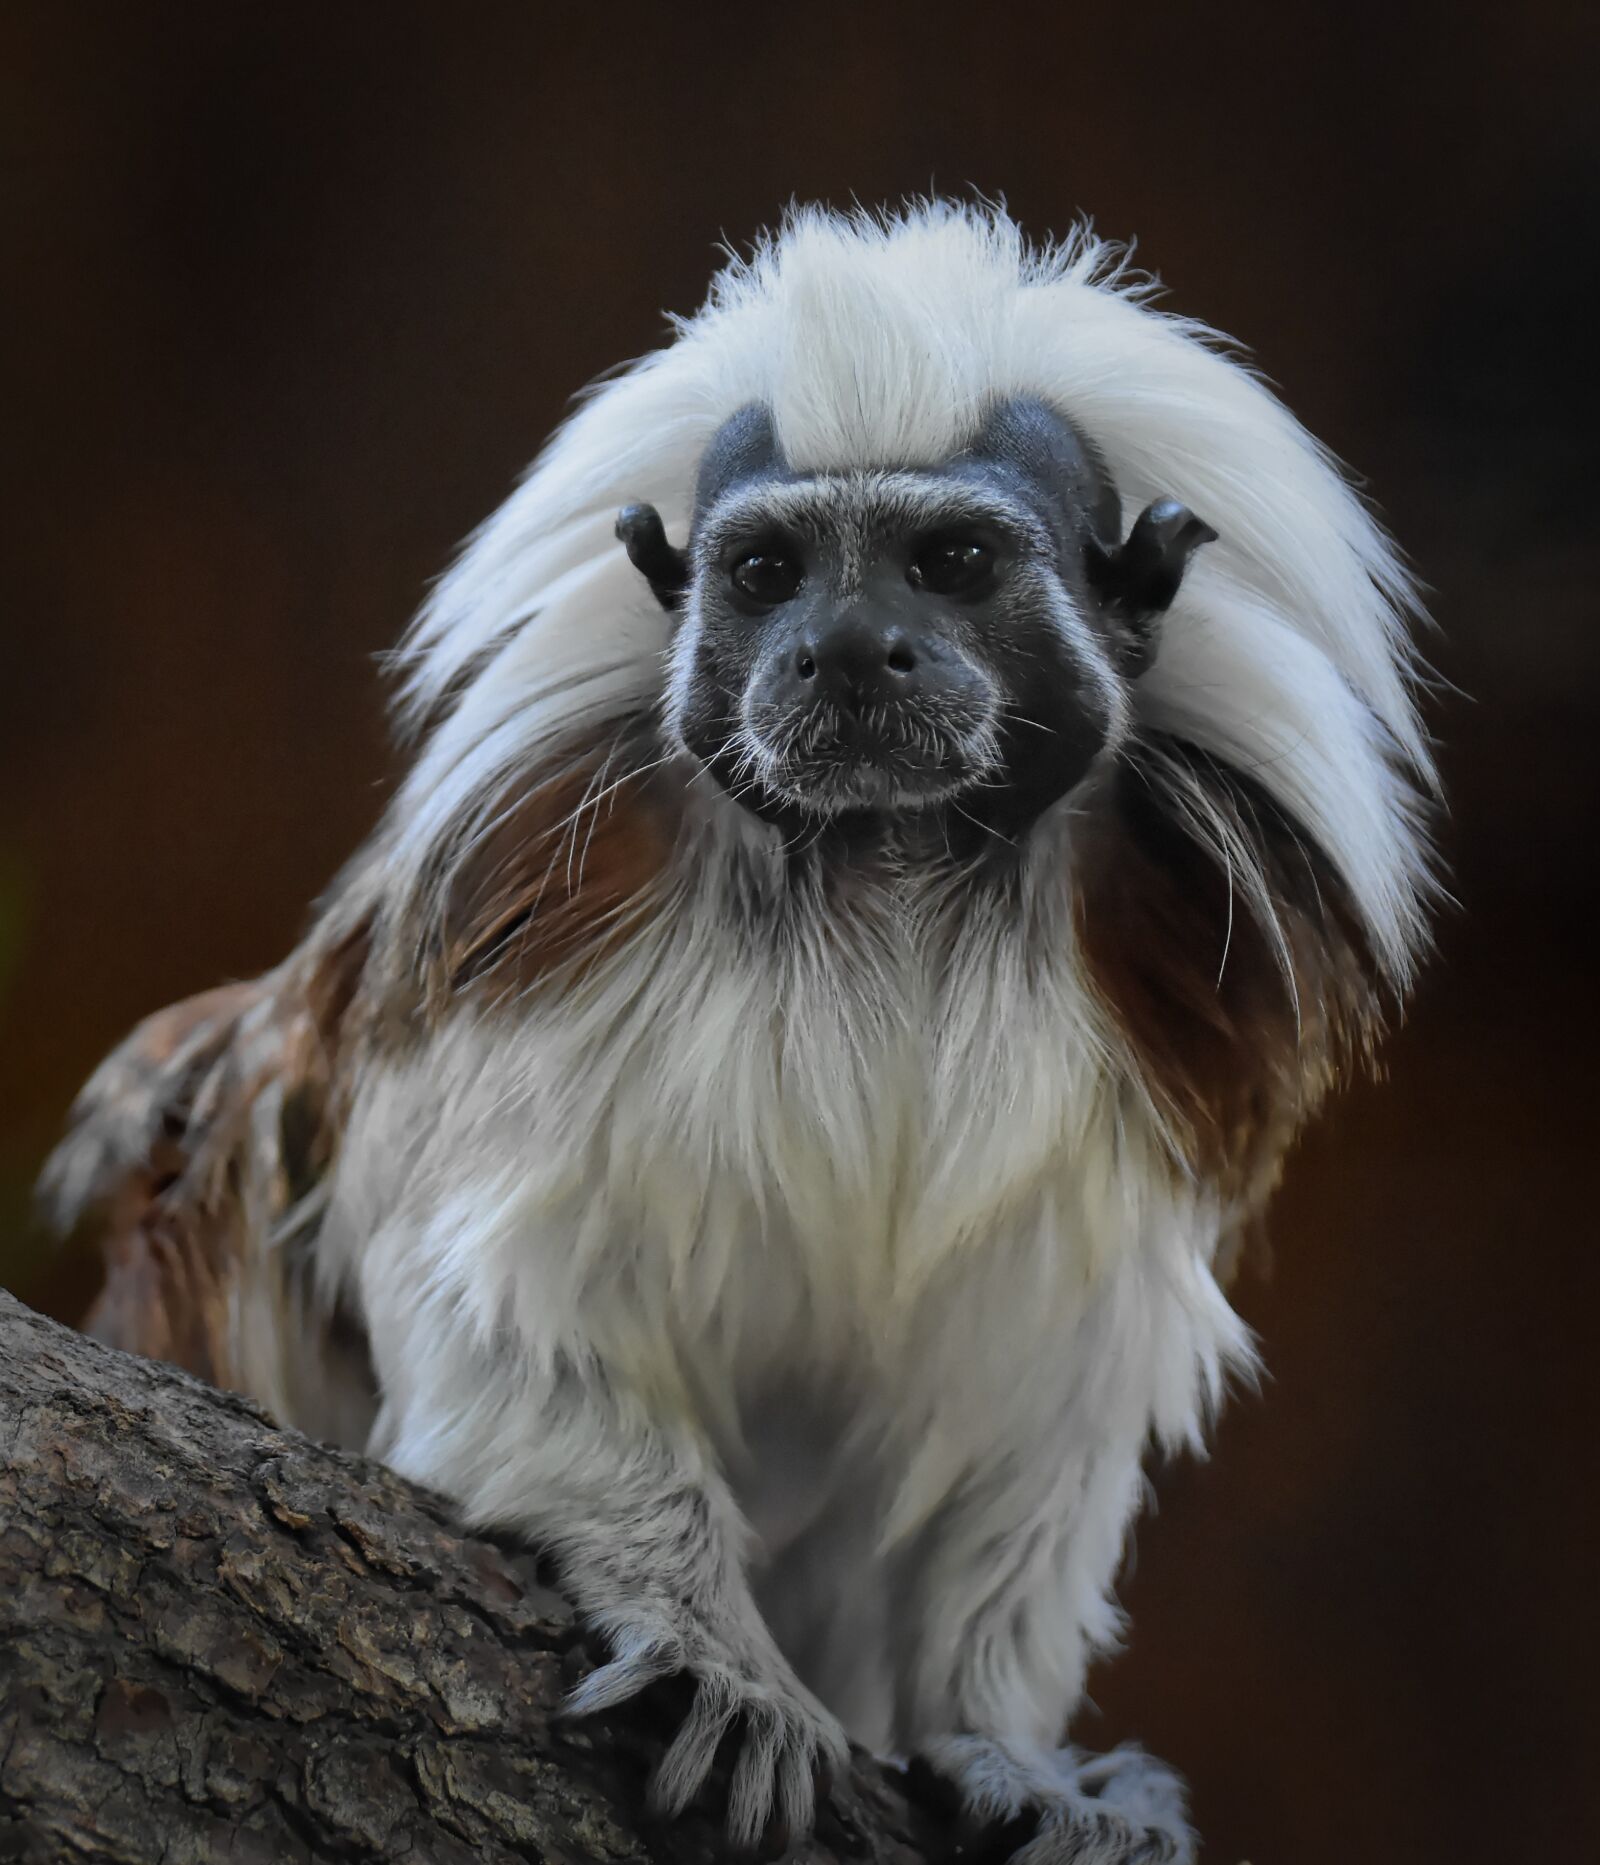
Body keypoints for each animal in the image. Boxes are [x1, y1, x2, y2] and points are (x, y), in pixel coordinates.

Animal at [41, 203, 1436, 1865]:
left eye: (953, 562)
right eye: (768, 571)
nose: (846, 647)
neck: (890, 880)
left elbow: (1022, 1435)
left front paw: (1011, 1749)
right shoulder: (530, 947)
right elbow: (505, 1317)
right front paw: (716, 1652)